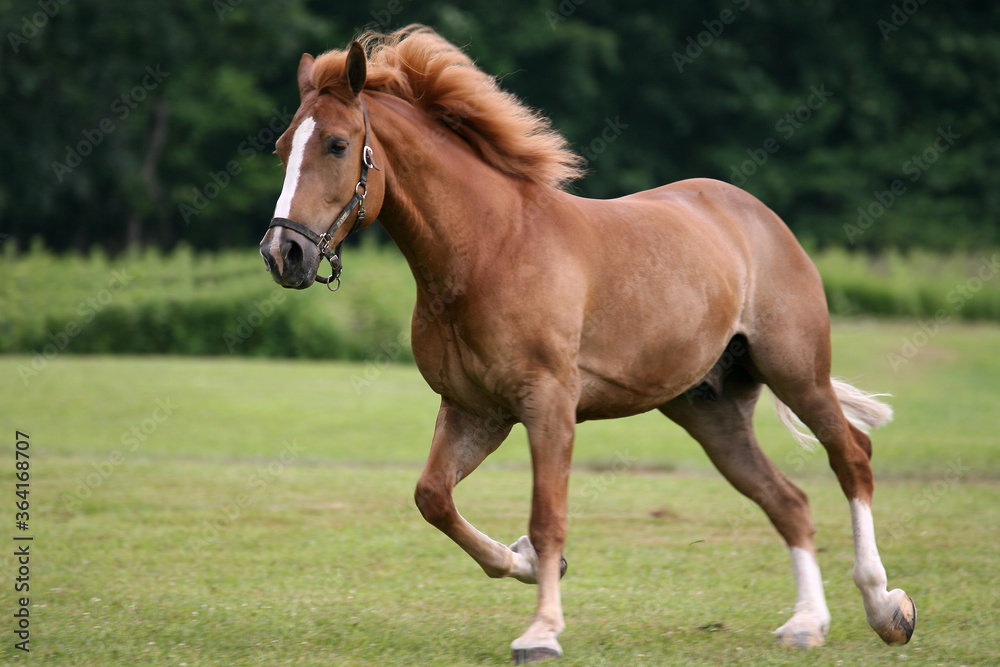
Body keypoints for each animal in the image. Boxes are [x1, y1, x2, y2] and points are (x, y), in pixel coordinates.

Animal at [258, 25, 915, 663]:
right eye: (283, 148)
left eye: (337, 144)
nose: (283, 253)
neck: (488, 250)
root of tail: (757, 216)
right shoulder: (475, 410)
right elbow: (433, 498)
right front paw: (522, 561)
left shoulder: (548, 405)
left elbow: (548, 516)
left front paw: (542, 631)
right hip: (711, 412)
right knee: (788, 502)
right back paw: (806, 623)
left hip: (797, 373)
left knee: (852, 458)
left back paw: (886, 608)